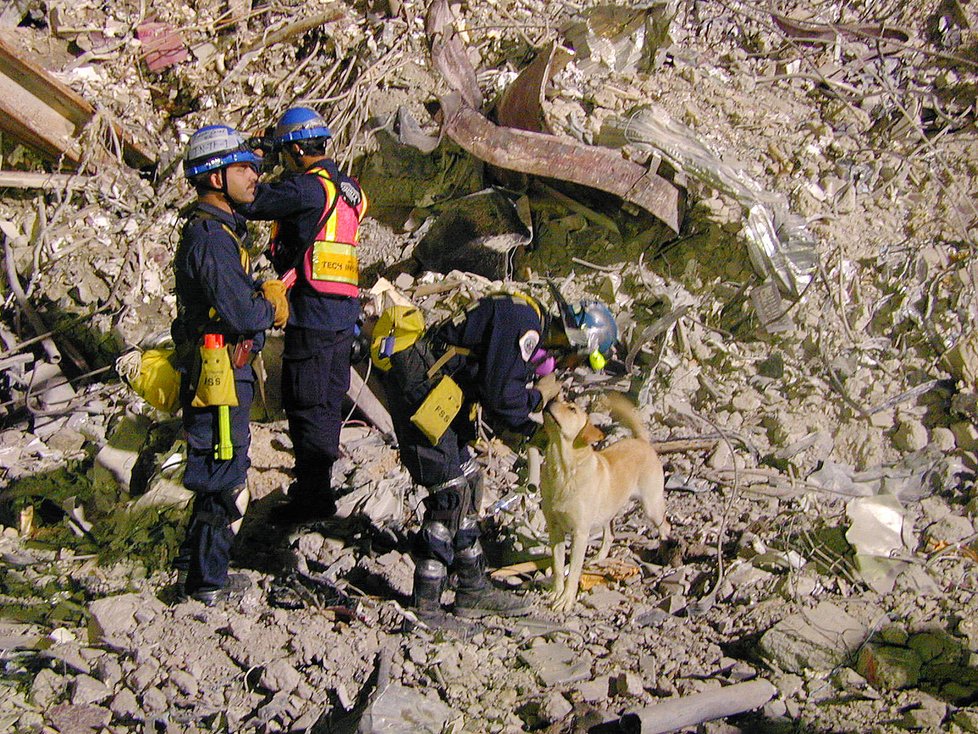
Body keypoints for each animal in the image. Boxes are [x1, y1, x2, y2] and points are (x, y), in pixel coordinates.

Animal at [536, 394, 668, 612]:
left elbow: (573, 571)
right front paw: (556, 592)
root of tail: (642, 442)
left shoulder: (580, 534)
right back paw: (598, 558)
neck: (563, 470)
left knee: (665, 526)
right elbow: (558, 566)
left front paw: (566, 599)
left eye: (572, 409)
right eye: (559, 398)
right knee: (610, 535)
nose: (551, 400)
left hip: (652, 506)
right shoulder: (555, 530)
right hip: (608, 510)